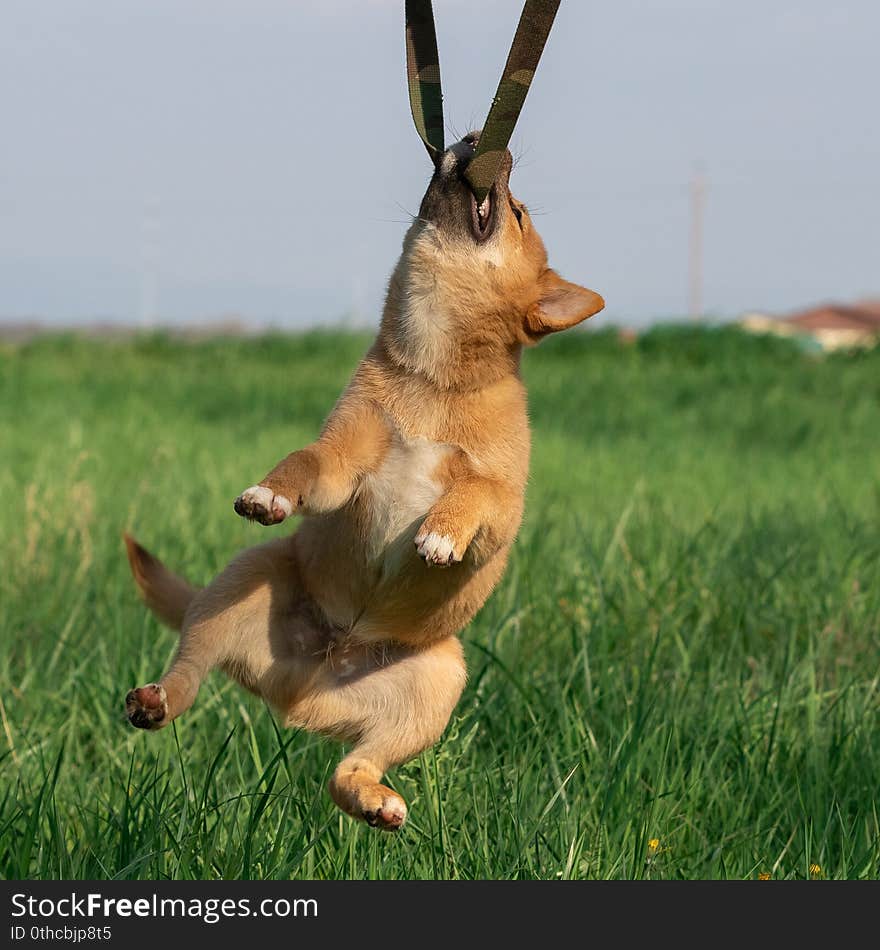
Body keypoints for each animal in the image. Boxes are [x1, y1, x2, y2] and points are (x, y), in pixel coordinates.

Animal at [125, 130, 604, 828]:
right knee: (189, 669)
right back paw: (156, 700)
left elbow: (475, 491)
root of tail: (314, 673)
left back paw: (374, 800)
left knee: (348, 770)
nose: (472, 137)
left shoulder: (502, 509)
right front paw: (271, 492)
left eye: (516, 214)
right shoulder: (343, 461)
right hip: (241, 582)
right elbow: (304, 462)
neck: (432, 378)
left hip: (438, 681)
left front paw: (441, 532)